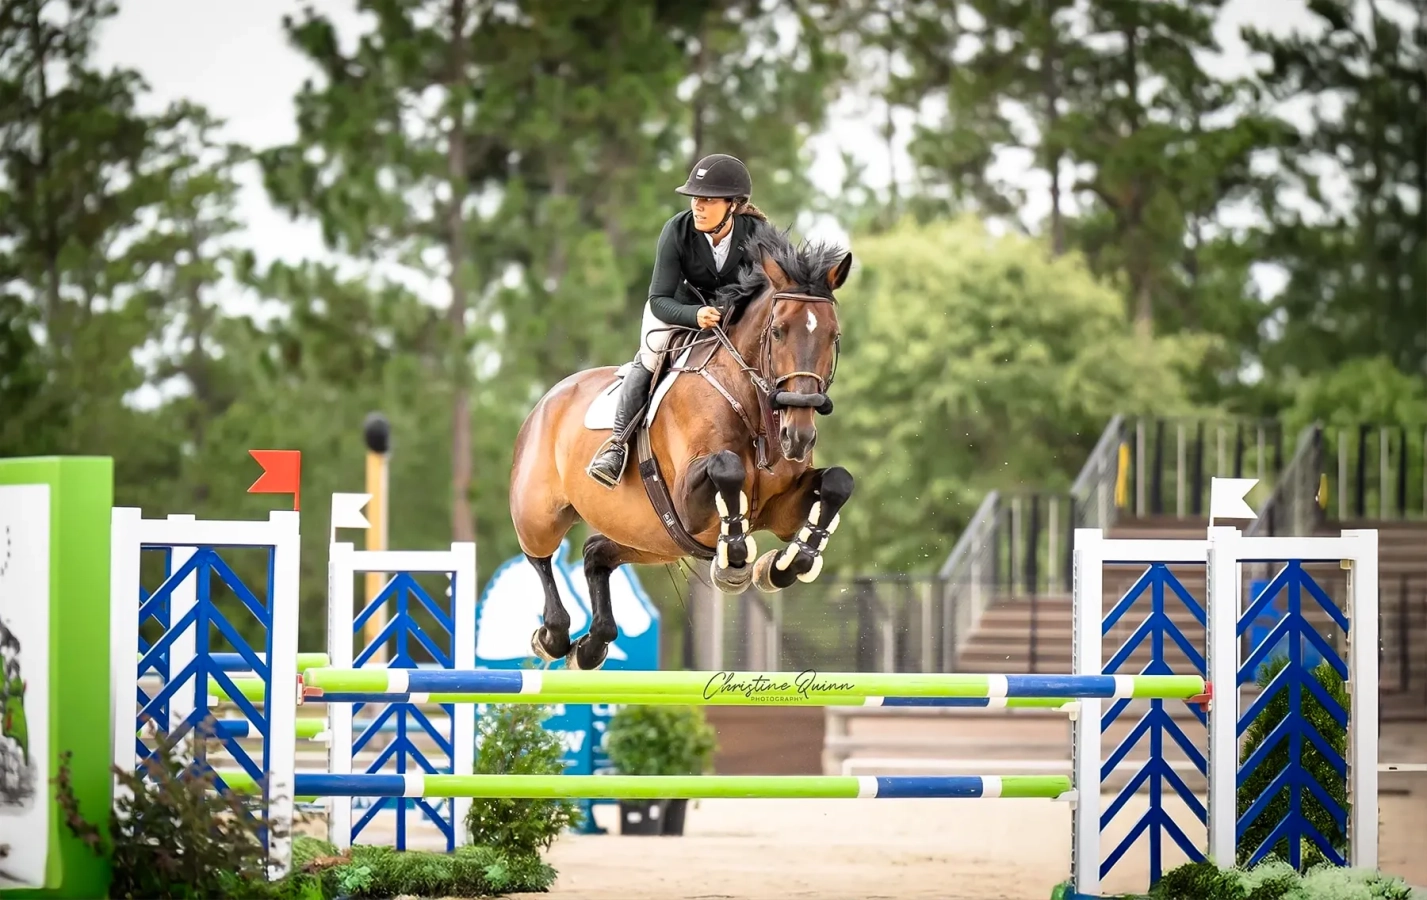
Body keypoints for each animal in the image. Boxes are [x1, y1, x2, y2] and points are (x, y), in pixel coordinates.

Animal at [508, 229, 856, 671]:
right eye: (778, 331)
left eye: (833, 336)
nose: (798, 436)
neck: (753, 409)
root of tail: (547, 400)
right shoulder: (688, 503)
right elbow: (727, 468)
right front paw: (734, 566)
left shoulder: (779, 510)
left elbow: (838, 482)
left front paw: (784, 565)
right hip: (540, 512)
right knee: (539, 556)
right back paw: (553, 636)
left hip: (651, 537)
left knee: (595, 553)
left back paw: (591, 645)